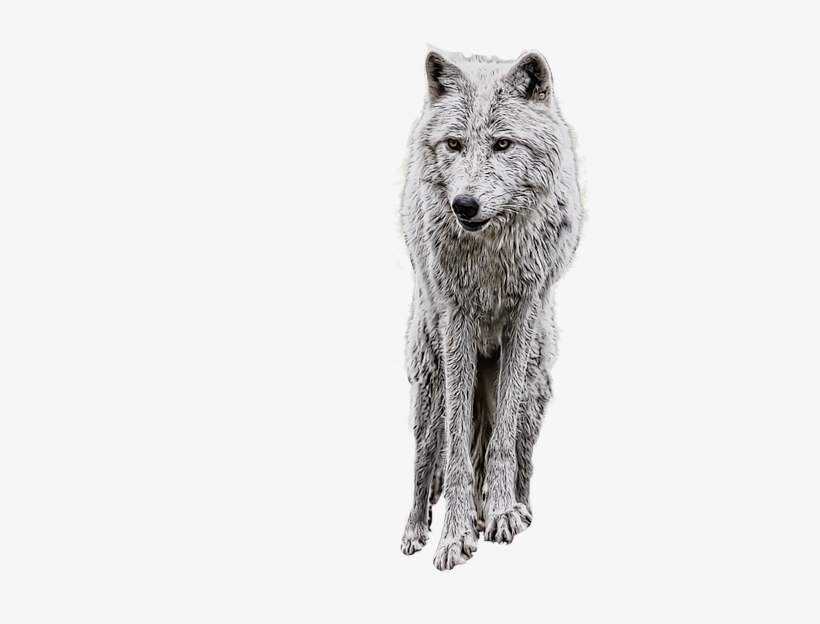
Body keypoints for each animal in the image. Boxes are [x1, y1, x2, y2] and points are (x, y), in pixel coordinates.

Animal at [399, 48, 583, 570]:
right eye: (454, 144)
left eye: (503, 144)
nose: (464, 205)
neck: (491, 254)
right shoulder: (456, 321)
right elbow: (458, 453)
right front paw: (454, 535)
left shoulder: (523, 314)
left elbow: (500, 440)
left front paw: (500, 513)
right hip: (430, 381)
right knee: (425, 458)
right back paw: (415, 530)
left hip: (537, 383)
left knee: (519, 449)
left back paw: (516, 509)